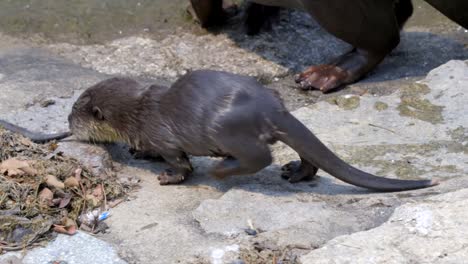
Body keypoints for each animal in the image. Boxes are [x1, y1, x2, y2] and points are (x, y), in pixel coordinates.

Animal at [67, 71, 436, 191]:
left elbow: (180, 164)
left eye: (74, 114)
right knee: (306, 153)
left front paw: (168, 176)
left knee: (259, 157)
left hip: (224, 128)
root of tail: (269, 109)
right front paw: (140, 151)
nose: (67, 124)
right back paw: (296, 172)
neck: (139, 111)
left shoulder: (162, 135)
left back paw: (222, 169)